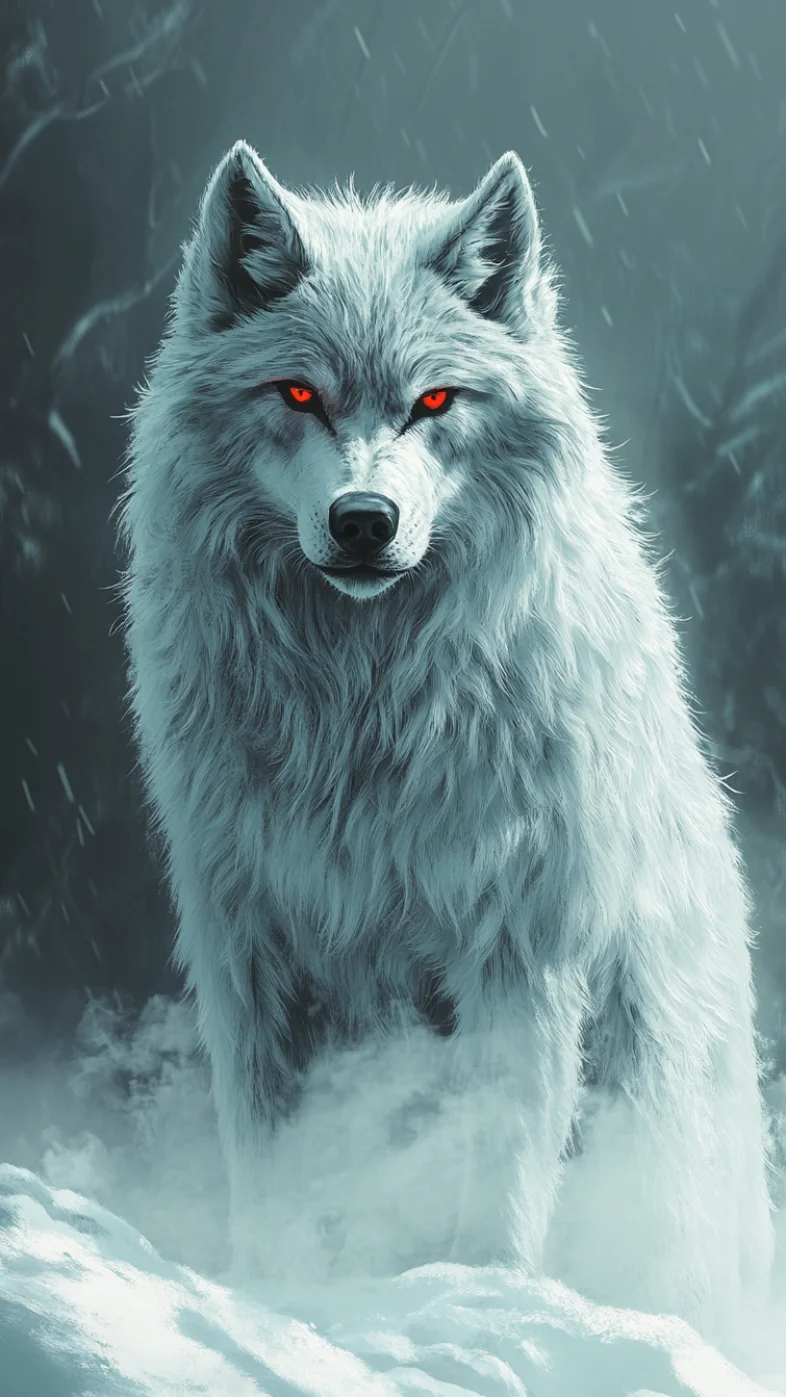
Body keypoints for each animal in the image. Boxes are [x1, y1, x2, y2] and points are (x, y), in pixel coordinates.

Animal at [118, 139, 773, 1328]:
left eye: (434, 400)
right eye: (299, 392)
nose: (363, 521)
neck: (361, 717)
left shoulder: (518, 946)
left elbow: (502, 1167)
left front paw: (482, 1297)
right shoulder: (253, 954)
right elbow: (276, 1163)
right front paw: (280, 1289)